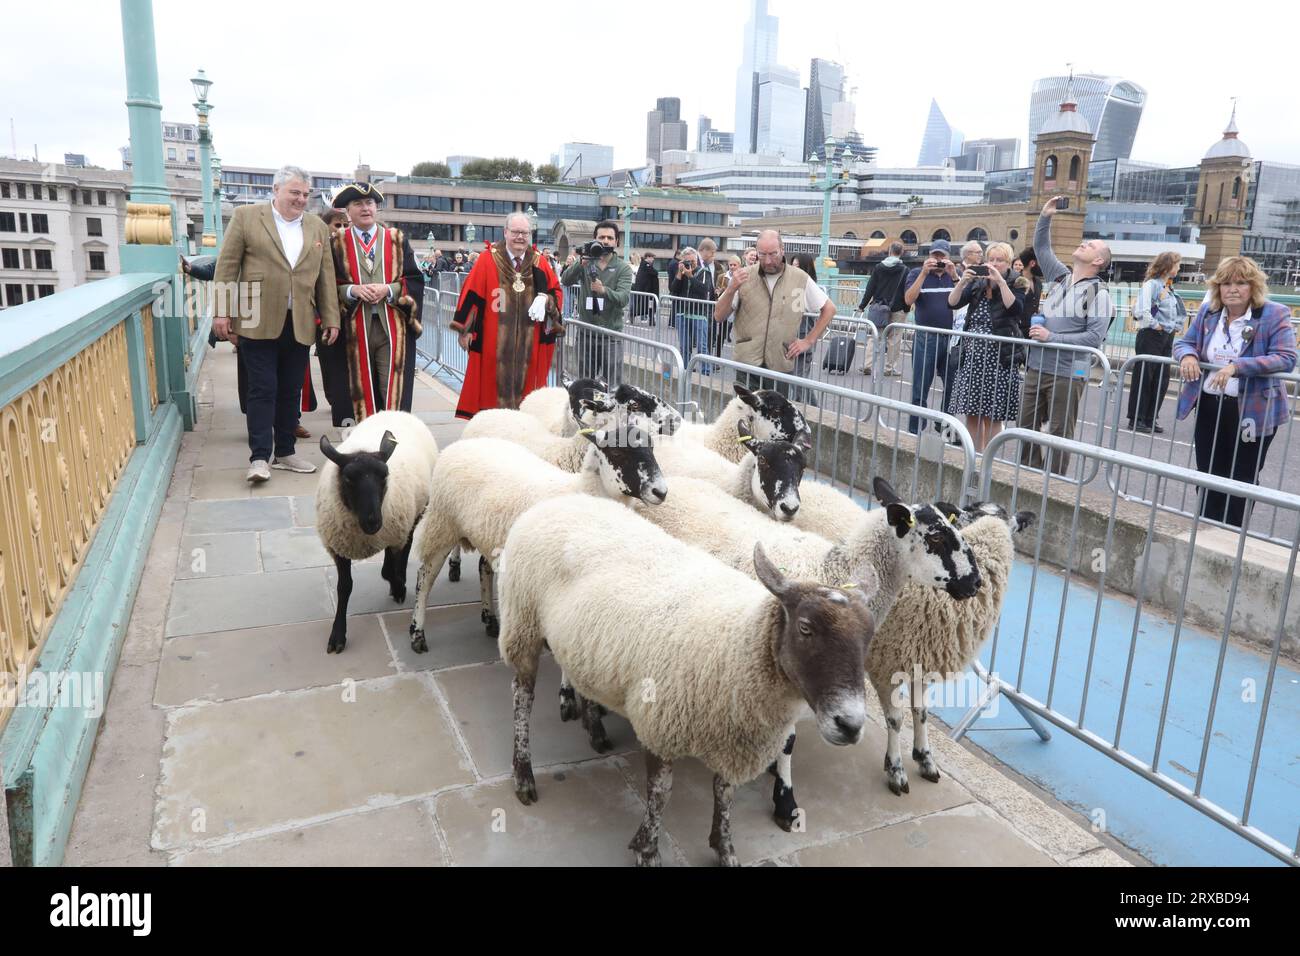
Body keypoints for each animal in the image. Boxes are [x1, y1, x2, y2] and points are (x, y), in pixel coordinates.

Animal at [315, 411, 439, 658]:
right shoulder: (338, 547)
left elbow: (394, 563)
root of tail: (397, 411)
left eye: (385, 476)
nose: (373, 521)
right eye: (348, 479)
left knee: (406, 545)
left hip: (409, 516)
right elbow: (344, 587)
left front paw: (399, 587)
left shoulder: (395, 531)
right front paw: (338, 635)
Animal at [408, 426, 670, 650]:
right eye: (616, 451)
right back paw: (417, 633)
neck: (581, 490)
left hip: (488, 533)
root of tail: (458, 445)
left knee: (484, 567)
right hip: (443, 523)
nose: (661, 491)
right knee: (425, 577)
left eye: (652, 448)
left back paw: (490, 620)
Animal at [496, 494, 873, 868]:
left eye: (868, 638)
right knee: (521, 697)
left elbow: (724, 795)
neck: (739, 641)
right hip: (522, 622)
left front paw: (724, 848)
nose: (850, 724)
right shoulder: (659, 724)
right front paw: (647, 849)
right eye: (805, 627)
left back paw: (595, 729)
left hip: (580, 642)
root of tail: (560, 499)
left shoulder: (735, 735)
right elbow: (661, 793)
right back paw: (523, 774)